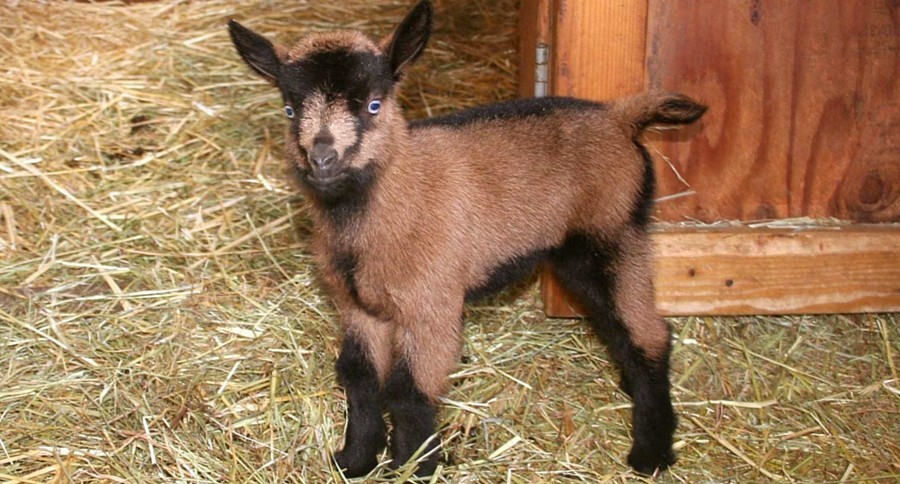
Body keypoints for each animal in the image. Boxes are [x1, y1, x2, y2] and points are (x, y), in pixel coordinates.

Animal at [229, 0, 705, 477]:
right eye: (290, 110)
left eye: (374, 104)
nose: (323, 158)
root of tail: (619, 116)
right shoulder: (359, 306)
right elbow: (358, 377)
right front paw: (355, 459)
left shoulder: (430, 304)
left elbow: (408, 390)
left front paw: (414, 467)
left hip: (612, 235)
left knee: (647, 333)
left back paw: (651, 453)